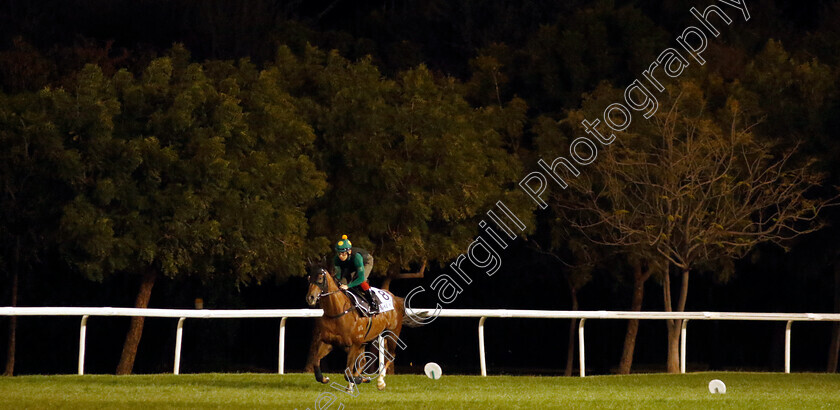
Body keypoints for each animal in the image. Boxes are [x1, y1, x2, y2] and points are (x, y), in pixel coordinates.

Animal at [306, 262, 420, 390]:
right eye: (309, 278)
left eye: (320, 278)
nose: (310, 297)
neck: (338, 312)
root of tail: (395, 299)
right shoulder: (328, 342)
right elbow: (316, 361)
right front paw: (325, 378)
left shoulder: (354, 344)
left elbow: (347, 372)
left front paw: (361, 379)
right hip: (367, 340)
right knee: (363, 361)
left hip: (392, 334)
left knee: (390, 355)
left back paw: (380, 382)